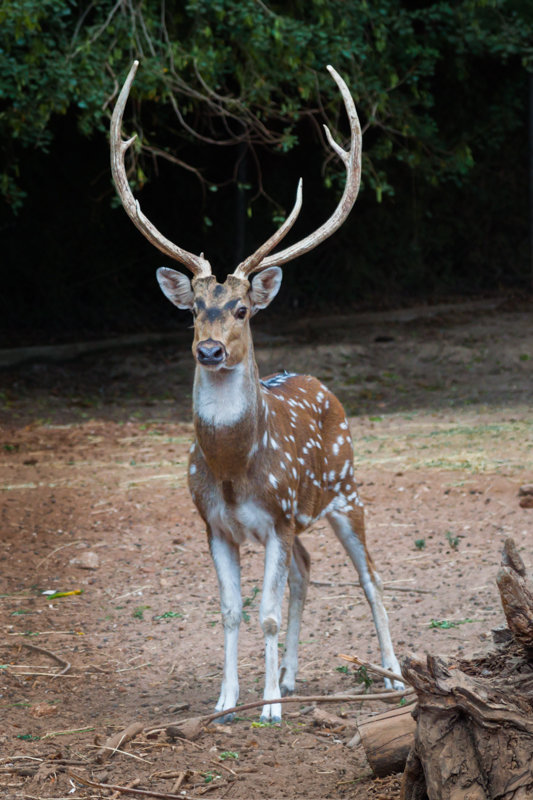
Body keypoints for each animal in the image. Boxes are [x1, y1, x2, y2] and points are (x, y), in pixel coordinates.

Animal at [112, 61, 404, 724]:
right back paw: (293, 678)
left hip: (346, 490)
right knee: (306, 572)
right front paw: (227, 702)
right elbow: (230, 610)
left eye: (242, 310)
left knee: (371, 577)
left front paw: (267, 709)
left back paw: (396, 677)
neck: (232, 467)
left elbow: (265, 613)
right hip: (305, 518)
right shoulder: (215, 525)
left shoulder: (276, 516)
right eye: (194, 310)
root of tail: (320, 384)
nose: (209, 350)